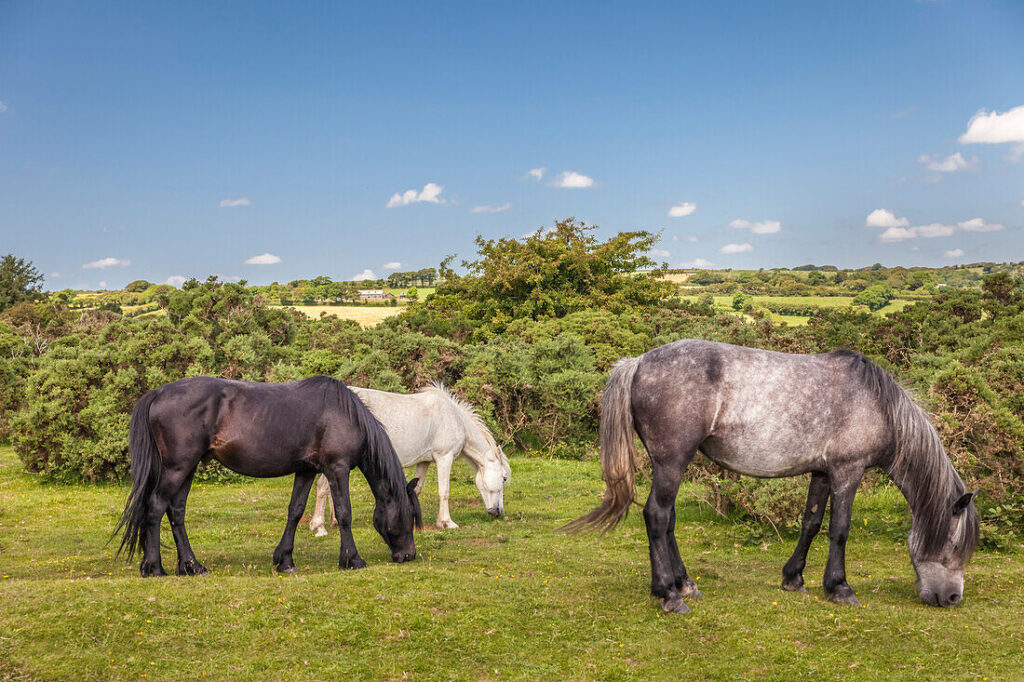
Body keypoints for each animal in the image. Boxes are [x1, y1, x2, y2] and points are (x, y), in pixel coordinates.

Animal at [114, 375, 422, 577]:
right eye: (408, 515)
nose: (408, 555)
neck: (343, 413)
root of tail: (157, 393)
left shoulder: (306, 470)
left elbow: (295, 511)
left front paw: (284, 561)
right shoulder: (337, 468)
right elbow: (344, 513)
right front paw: (352, 559)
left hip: (187, 469)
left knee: (176, 512)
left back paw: (191, 566)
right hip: (177, 468)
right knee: (156, 508)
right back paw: (154, 567)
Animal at [310, 383, 510, 534]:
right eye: (504, 478)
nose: (498, 512)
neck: (454, 418)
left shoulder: (424, 461)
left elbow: (417, 488)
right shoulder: (444, 458)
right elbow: (444, 491)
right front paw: (446, 522)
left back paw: (333, 521)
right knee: (322, 487)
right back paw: (319, 526)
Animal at [568, 340, 979, 614]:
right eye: (954, 546)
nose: (952, 598)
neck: (876, 404)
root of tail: (638, 362)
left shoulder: (822, 472)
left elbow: (811, 523)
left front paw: (793, 579)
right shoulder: (848, 471)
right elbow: (840, 529)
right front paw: (840, 588)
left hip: (669, 464)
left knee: (667, 520)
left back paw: (684, 584)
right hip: (672, 461)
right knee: (656, 515)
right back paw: (668, 594)